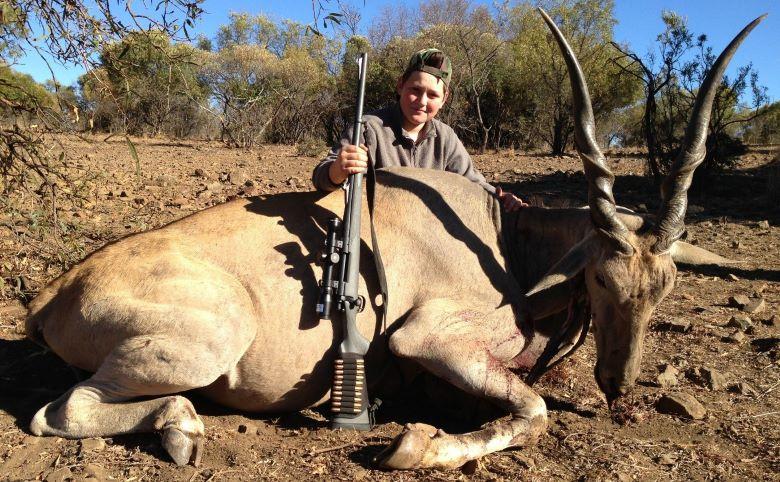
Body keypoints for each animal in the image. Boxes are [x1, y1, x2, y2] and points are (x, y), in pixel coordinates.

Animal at [23, 10, 764, 470]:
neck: (505, 244)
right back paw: (182, 427)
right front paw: (414, 446)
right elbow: (534, 410)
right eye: (603, 280)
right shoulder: (427, 339)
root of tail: (53, 293)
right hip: (211, 339)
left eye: (664, 289)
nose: (619, 385)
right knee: (58, 412)